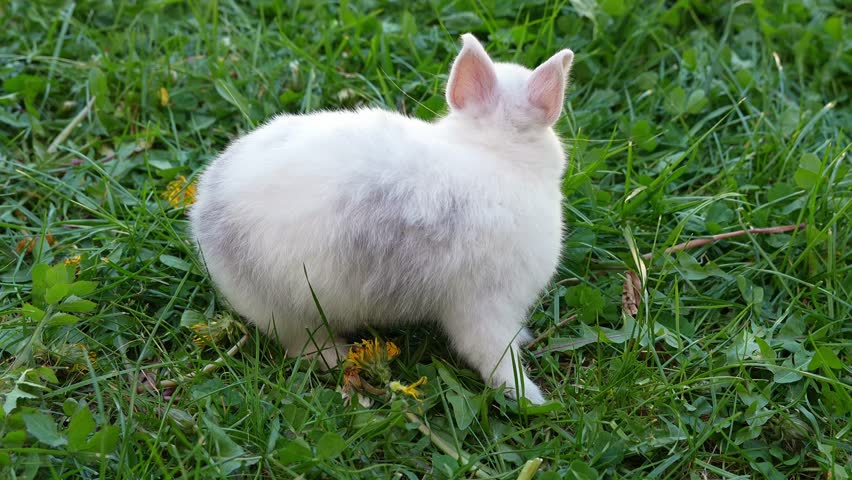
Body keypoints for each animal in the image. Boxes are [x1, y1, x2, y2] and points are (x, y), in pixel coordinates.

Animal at [189, 33, 574, 404]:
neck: (494, 153)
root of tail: (207, 214)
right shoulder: (486, 304)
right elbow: (494, 356)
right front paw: (528, 396)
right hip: (291, 304)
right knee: (302, 342)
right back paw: (338, 356)